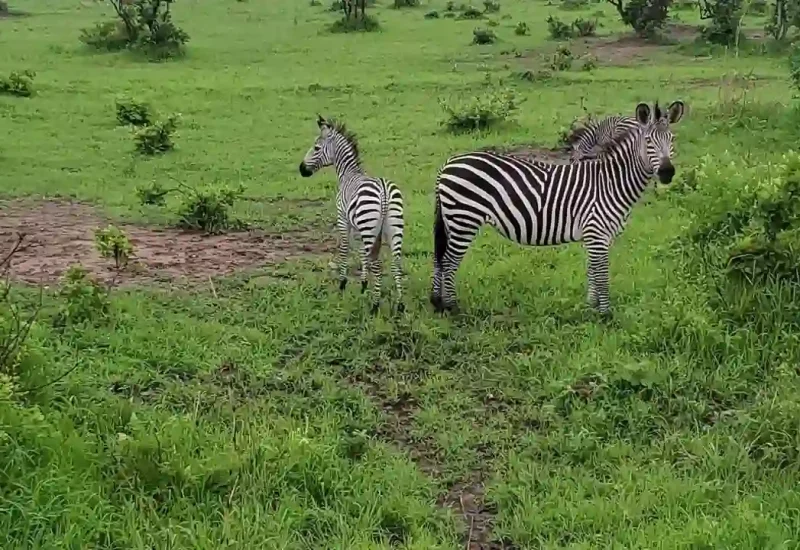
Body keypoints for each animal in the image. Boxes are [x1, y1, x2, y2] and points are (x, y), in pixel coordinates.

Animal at [299, 115, 405, 314]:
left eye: (316, 147)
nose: (301, 169)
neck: (348, 173)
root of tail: (384, 190)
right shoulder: (358, 226)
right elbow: (362, 253)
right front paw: (363, 284)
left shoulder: (343, 218)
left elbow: (344, 249)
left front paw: (342, 284)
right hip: (393, 227)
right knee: (396, 263)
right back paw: (400, 305)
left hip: (370, 226)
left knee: (378, 265)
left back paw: (375, 306)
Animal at [430, 100, 685, 318]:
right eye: (649, 141)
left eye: (672, 140)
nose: (667, 172)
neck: (611, 182)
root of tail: (448, 164)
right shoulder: (597, 233)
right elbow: (601, 274)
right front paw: (605, 315)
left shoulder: (596, 236)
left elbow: (592, 270)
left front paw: (591, 307)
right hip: (464, 218)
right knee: (450, 260)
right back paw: (451, 306)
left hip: (453, 219)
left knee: (440, 257)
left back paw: (437, 302)